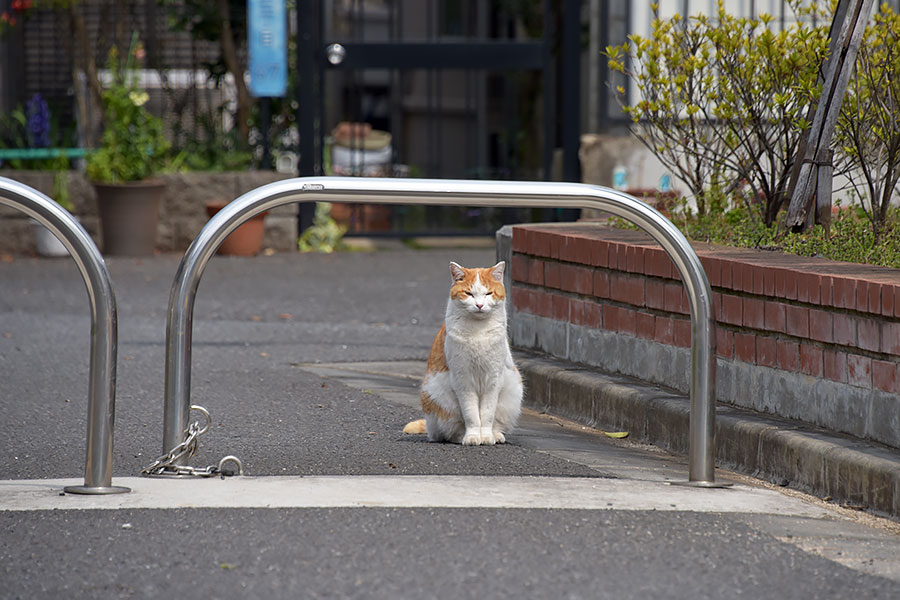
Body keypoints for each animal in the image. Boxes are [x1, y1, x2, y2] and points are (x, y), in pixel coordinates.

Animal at [404, 262, 524, 446]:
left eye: (488, 293)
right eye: (469, 293)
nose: (479, 305)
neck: (478, 330)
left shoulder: (493, 379)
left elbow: (487, 414)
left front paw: (486, 436)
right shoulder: (464, 380)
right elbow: (472, 414)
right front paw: (473, 436)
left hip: (512, 391)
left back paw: (496, 435)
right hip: (438, 397)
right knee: (448, 431)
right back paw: (461, 437)